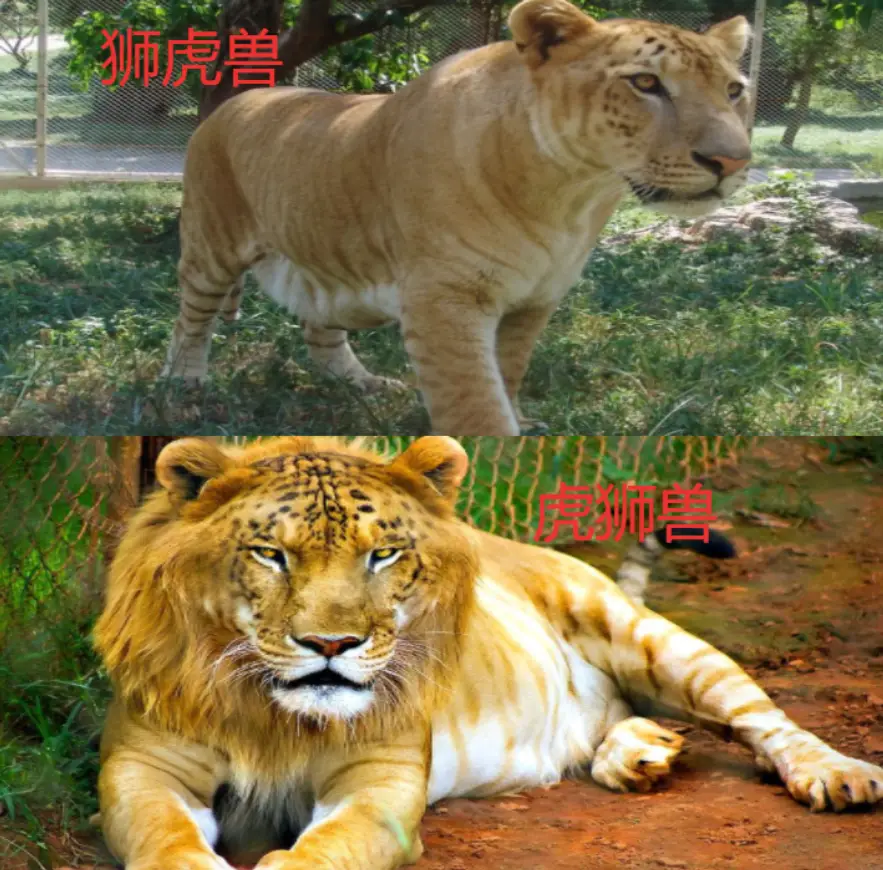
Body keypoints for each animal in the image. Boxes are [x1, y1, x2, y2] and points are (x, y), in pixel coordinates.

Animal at [94, 436, 882, 870]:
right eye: (270, 554)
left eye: (383, 554)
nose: (331, 645)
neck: (272, 713)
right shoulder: (145, 769)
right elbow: (165, 840)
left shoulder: (378, 784)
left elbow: (327, 850)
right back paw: (638, 755)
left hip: (645, 636)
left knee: (764, 720)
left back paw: (836, 775)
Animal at [161, 0, 754, 435]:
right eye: (646, 83)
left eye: (733, 90)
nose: (732, 161)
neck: (569, 198)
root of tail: (235, 101)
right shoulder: (444, 299)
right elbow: (473, 404)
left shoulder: (534, 301)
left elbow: (507, 375)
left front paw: (520, 426)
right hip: (211, 247)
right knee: (191, 320)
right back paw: (184, 387)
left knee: (318, 328)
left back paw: (362, 383)